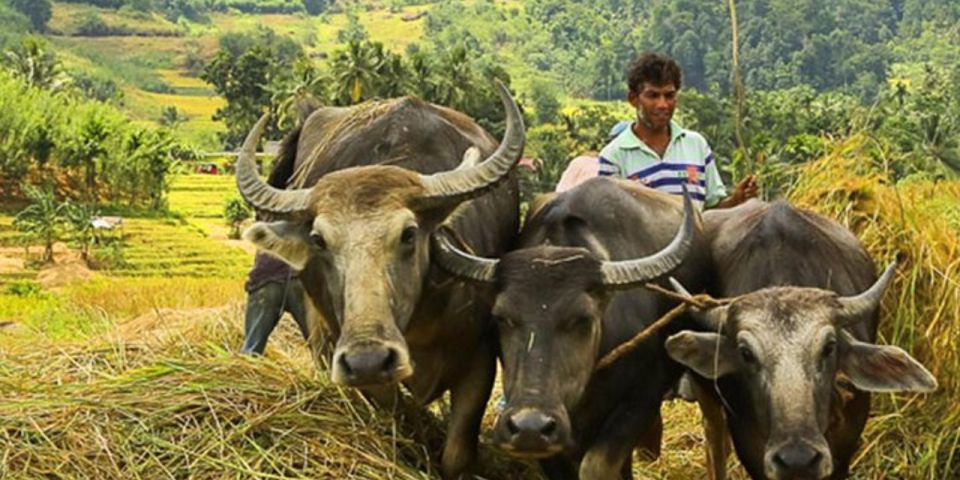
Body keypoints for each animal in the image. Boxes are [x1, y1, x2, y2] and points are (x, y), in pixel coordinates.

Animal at [234, 82, 524, 480]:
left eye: (409, 234)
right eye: (318, 240)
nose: (368, 358)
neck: (418, 324)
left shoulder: (479, 359)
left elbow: (456, 454)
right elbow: (402, 423)